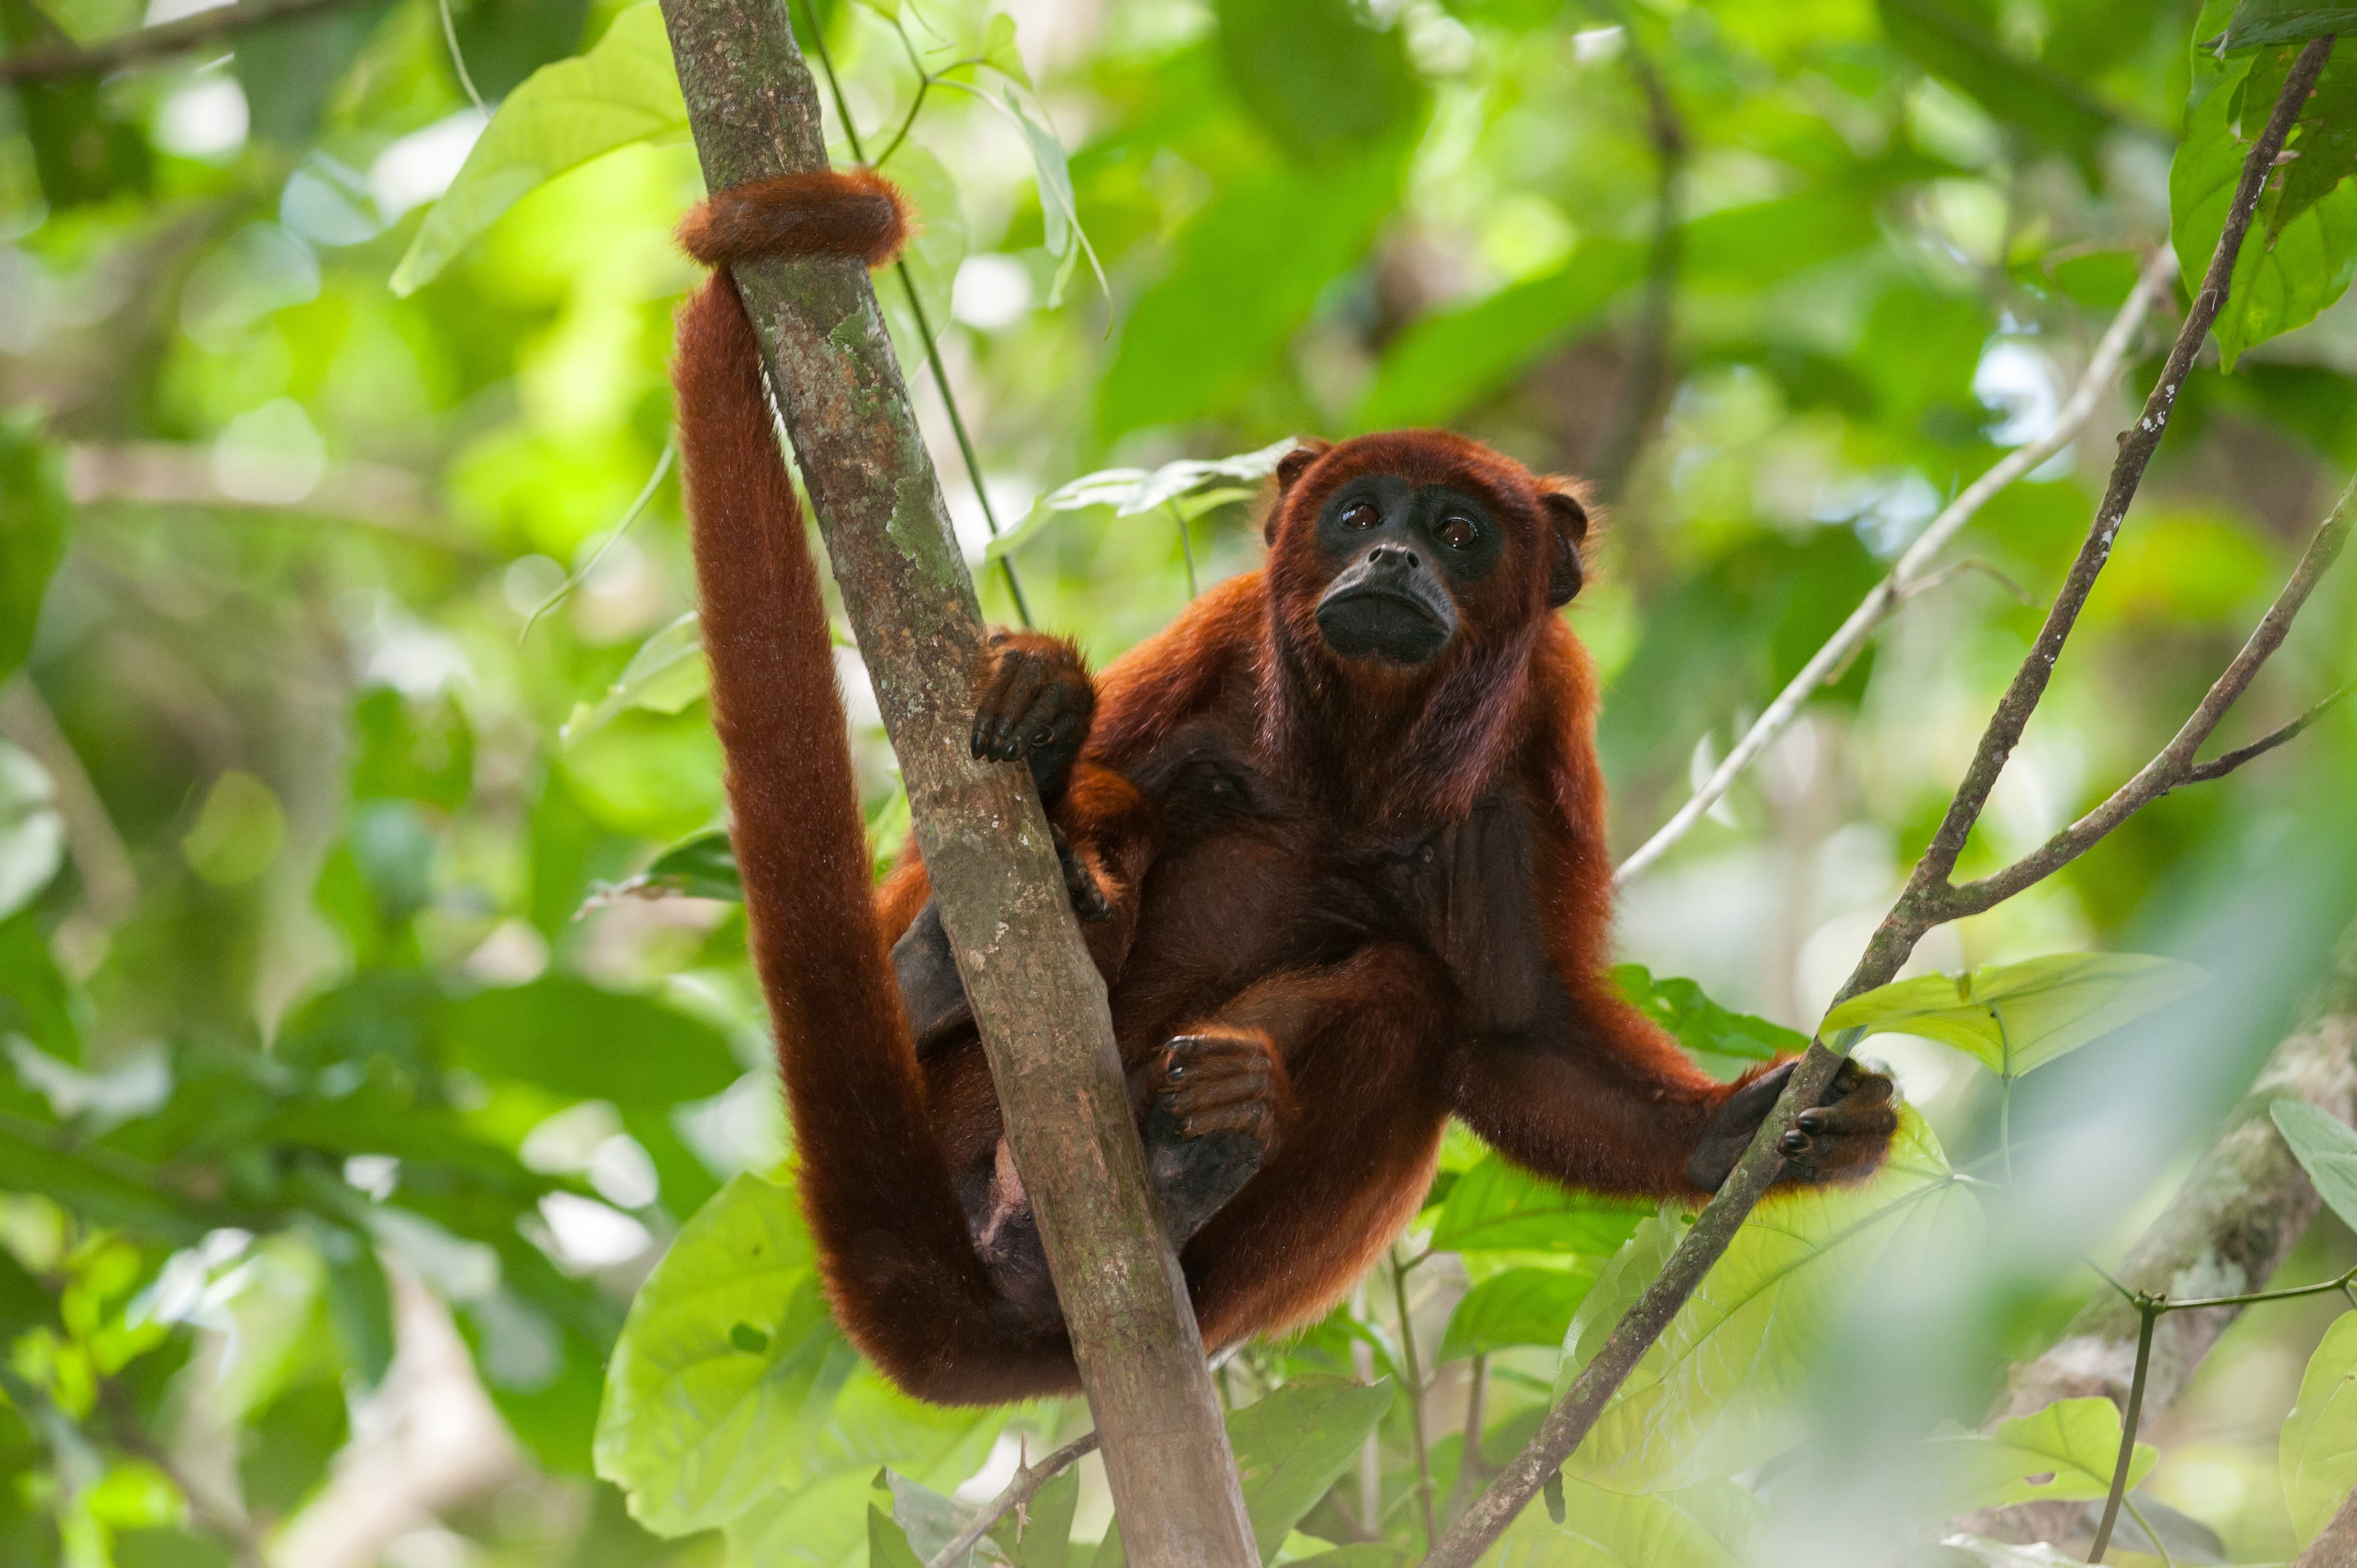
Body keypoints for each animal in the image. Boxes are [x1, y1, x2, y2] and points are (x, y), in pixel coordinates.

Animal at [669, 164, 1894, 1396]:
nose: (1393, 557)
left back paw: (1177, 1165)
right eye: (1357, 515)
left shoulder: (1542, 741)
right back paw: (955, 959)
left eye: (1459, 533)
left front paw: (1733, 1132)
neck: (1359, 758)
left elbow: (1516, 1028)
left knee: (1408, 997)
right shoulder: (1221, 632)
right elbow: (963, 832)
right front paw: (1048, 715)